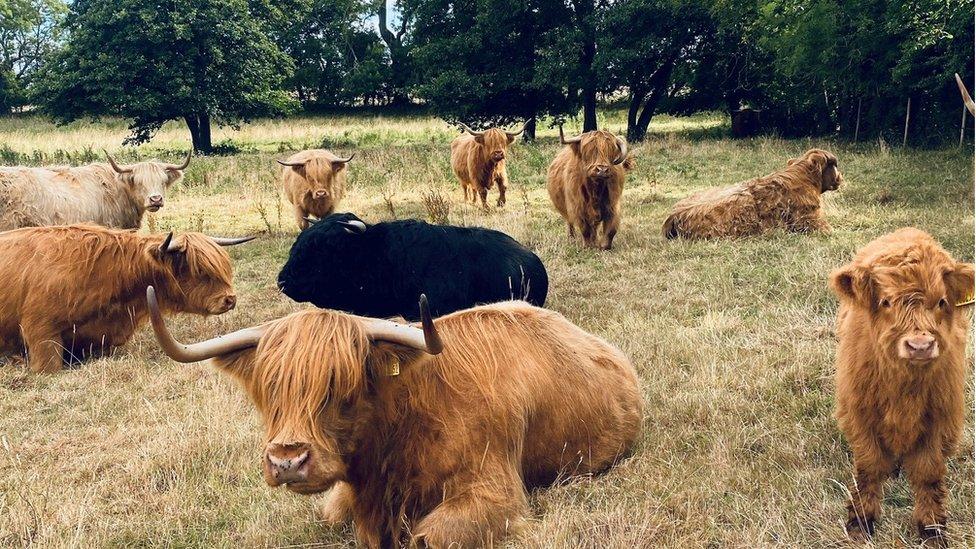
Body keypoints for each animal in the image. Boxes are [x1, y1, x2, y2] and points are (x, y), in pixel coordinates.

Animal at [147, 286, 640, 548]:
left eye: (341, 387)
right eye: (270, 390)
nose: (288, 461)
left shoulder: (496, 493)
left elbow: (428, 536)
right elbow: (332, 515)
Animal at [832, 227, 976, 544]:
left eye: (941, 301)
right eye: (886, 301)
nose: (919, 346)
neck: (905, 389)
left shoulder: (940, 418)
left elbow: (928, 472)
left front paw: (932, 529)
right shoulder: (861, 415)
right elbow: (870, 466)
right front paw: (861, 522)